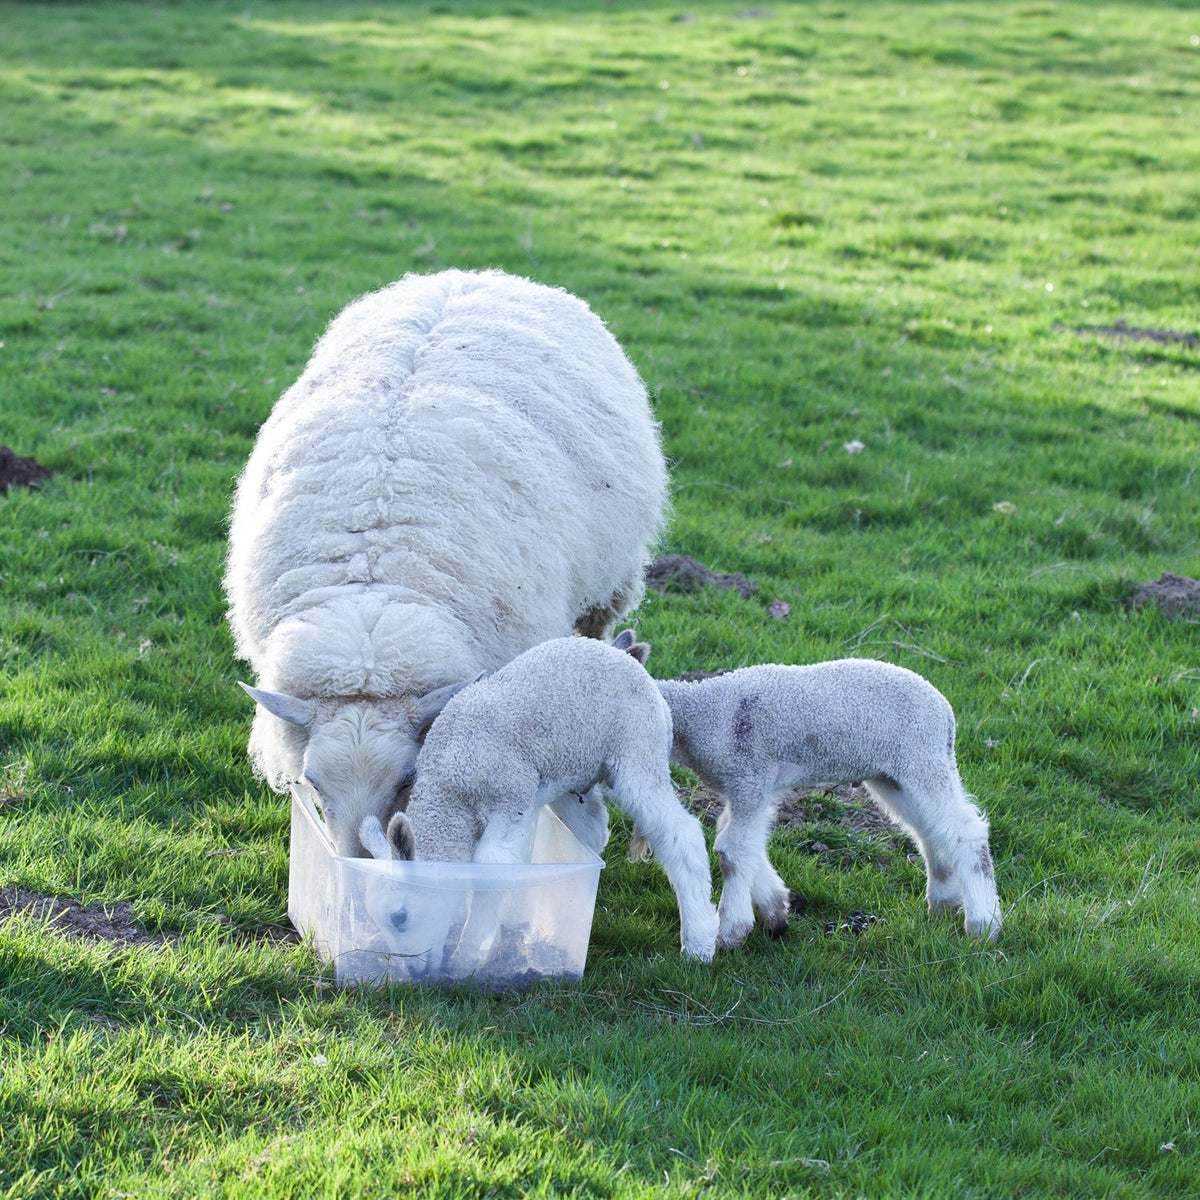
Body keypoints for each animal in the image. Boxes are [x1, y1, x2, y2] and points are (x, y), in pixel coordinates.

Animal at [225, 267, 672, 859]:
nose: (360, 868)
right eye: (313, 784)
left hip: (608, 587)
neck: (374, 592)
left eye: (408, 779)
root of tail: (479, 274)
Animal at [388, 638, 715, 964]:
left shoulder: (509, 796)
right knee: (594, 831)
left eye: (399, 917)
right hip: (571, 774)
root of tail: (627, 657)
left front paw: (467, 958)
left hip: (639, 750)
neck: (452, 790)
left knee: (681, 833)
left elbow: (491, 865)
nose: (414, 971)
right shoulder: (520, 805)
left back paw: (699, 943)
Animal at [652, 657, 998, 945]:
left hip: (921, 760)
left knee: (965, 833)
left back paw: (983, 924)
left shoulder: (750, 778)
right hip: (893, 776)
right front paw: (775, 911)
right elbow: (744, 842)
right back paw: (942, 902)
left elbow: (732, 850)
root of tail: (946, 713)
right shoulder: (747, 789)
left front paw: (730, 932)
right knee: (930, 831)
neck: (705, 713)